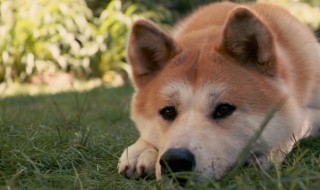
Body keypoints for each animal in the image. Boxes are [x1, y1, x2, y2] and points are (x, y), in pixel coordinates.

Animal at [117, 0, 320, 183]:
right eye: (167, 111)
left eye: (224, 109)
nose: (175, 161)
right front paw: (142, 150)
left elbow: (298, 123)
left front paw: (269, 151)